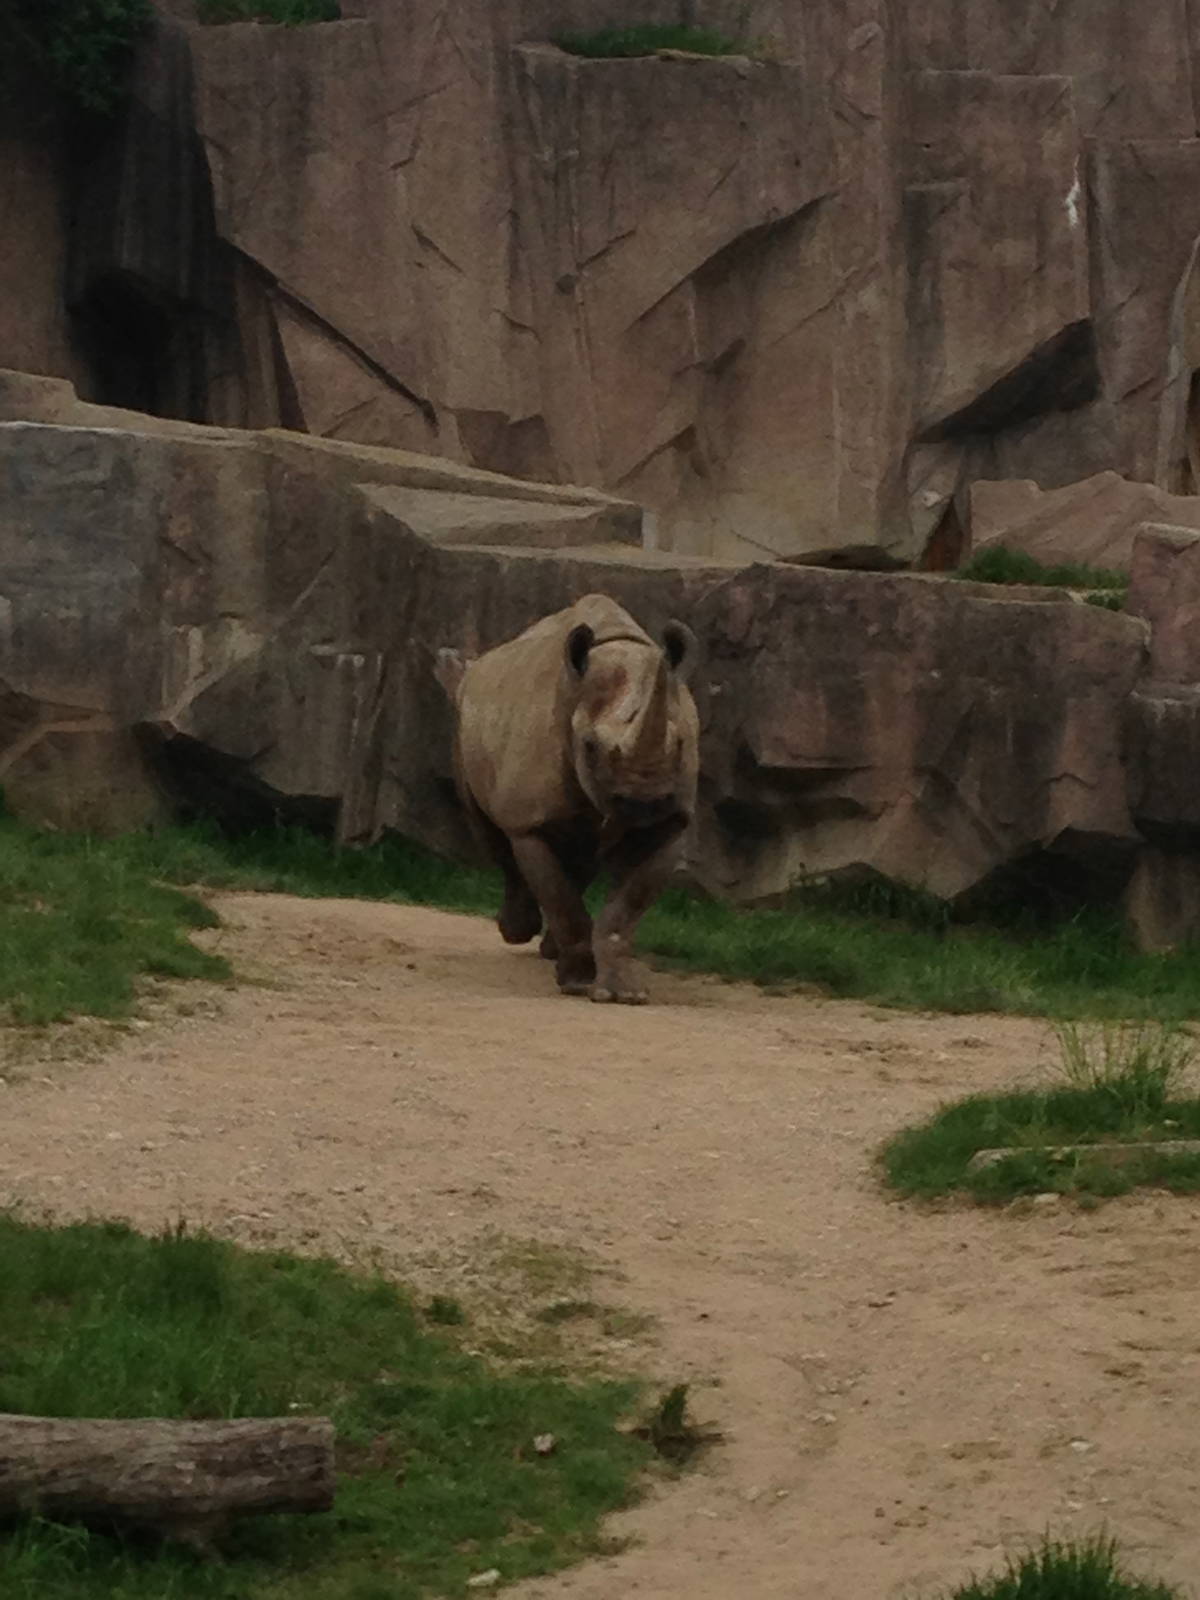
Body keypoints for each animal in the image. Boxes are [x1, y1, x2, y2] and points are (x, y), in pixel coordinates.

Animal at [437, 594, 699, 1004]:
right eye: (589, 746)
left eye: (682, 742)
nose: (643, 801)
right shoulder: (531, 821)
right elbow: (558, 896)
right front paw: (577, 984)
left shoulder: (671, 821)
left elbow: (627, 907)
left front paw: (625, 993)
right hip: (463, 722)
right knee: (490, 832)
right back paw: (517, 932)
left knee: (583, 851)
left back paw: (549, 950)